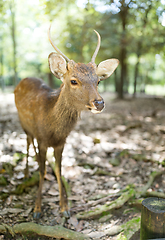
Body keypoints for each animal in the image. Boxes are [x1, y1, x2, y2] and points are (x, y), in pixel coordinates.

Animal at [14, 25, 119, 218]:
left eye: (98, 81)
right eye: (73, 81)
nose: (99, 103)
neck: (53, 129)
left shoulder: (61, 142)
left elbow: (59, 169)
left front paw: (65, 207)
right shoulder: (42, 140)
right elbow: (42, 169)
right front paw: (37, 209)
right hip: (23, 124)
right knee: (28, 142)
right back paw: (25, 173)